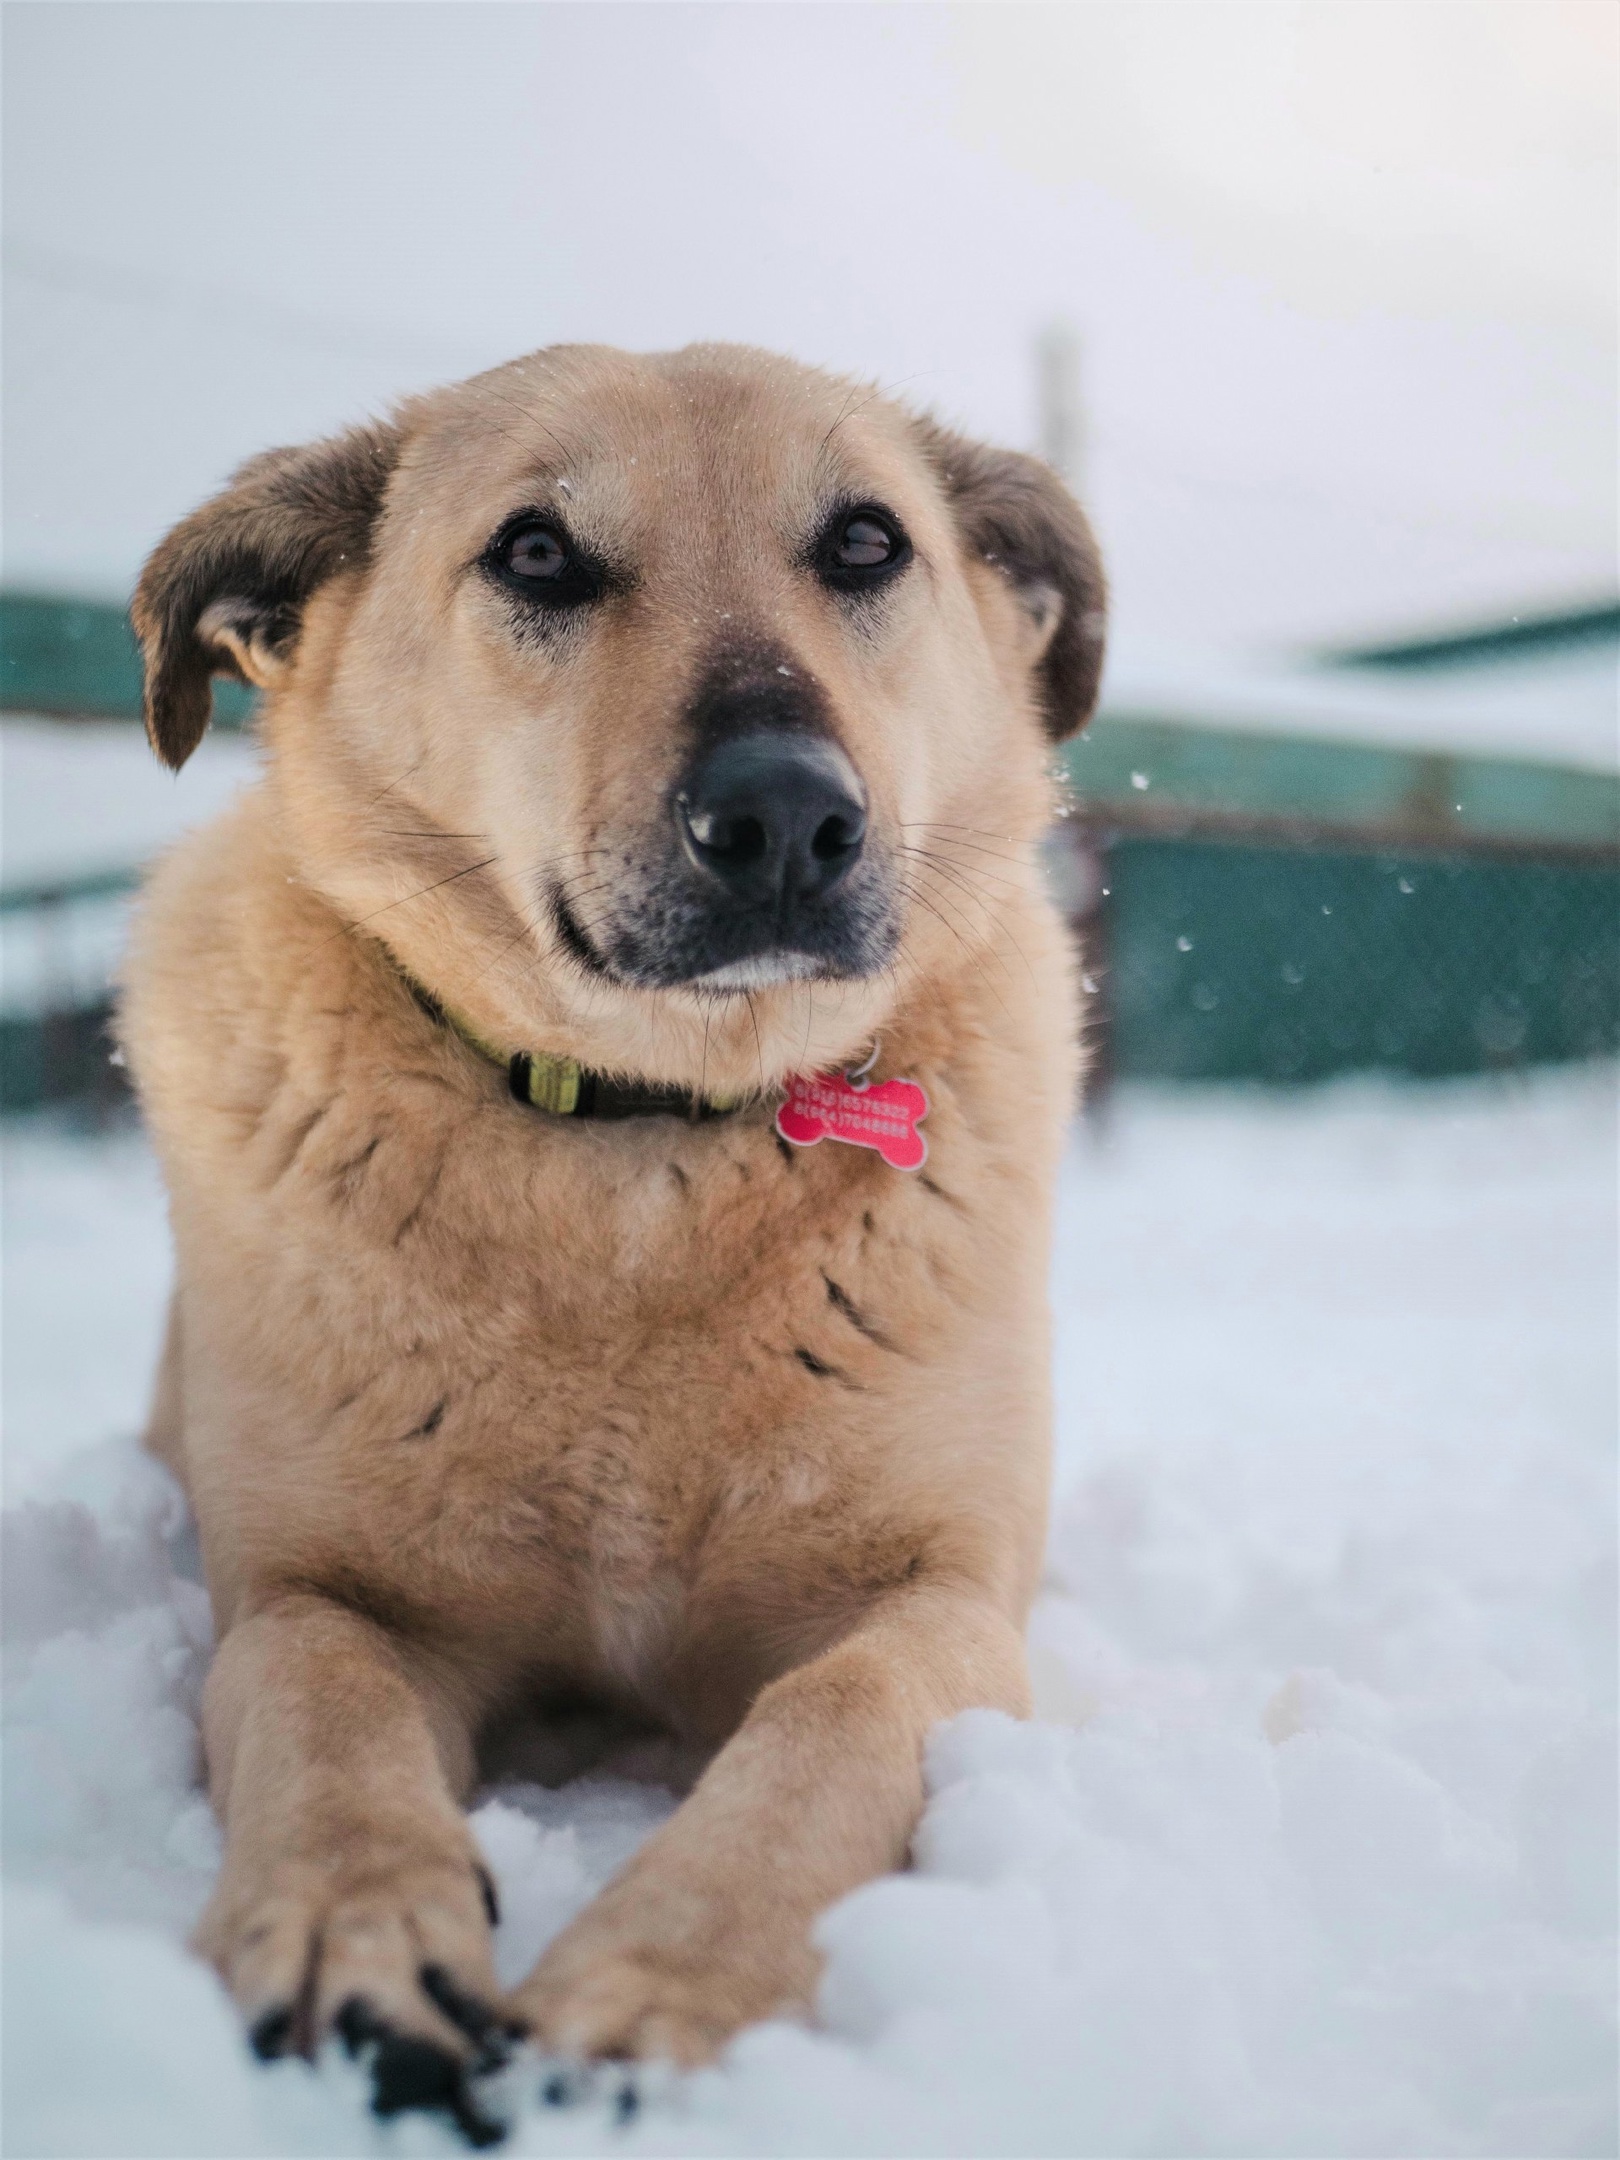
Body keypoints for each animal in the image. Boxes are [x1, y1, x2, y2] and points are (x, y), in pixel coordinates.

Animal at [120, 341, 1114, 2125]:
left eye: (867, 544)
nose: (783, 817)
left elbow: (831, 1723)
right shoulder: (316, 1594)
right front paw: (353, 1927)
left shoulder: (939, 1599)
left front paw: (653, 1982)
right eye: (535, 554)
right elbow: (322, 1712)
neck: (648, 1139)